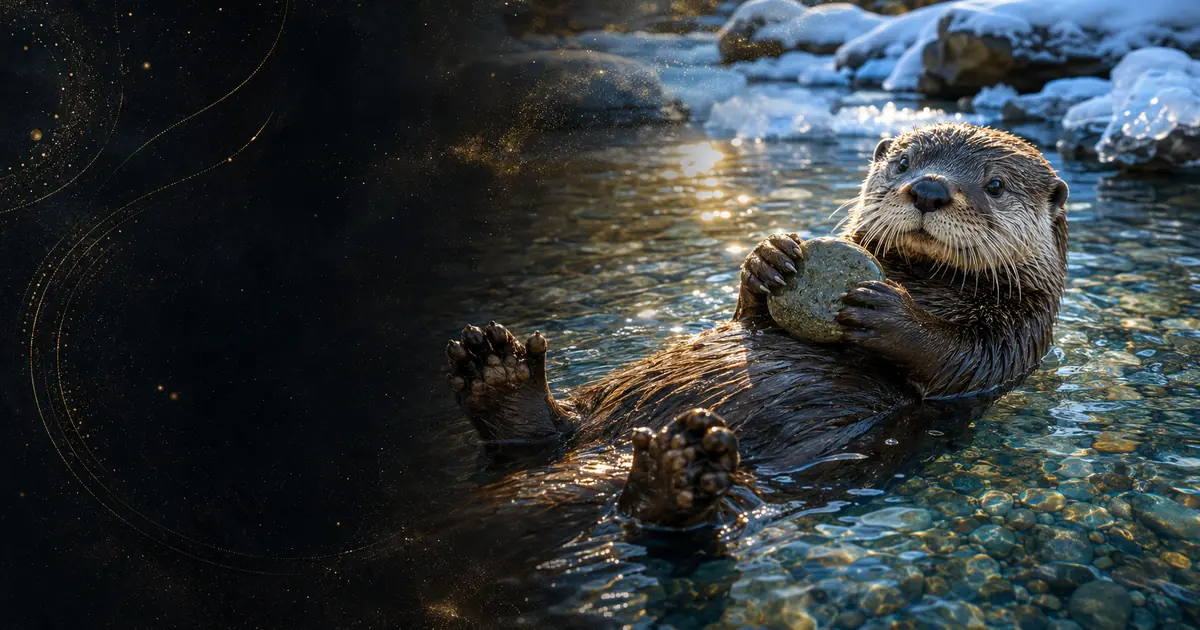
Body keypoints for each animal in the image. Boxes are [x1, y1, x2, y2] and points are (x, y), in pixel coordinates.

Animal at [443, 123, 1069, 530]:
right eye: (903, 164)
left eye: (994, 185)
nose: (930, 189)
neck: (922, 281)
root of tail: (614, 449)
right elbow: (748, 315)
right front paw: (769, 258)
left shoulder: (1020, 336)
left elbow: (956, 362)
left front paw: (889, 312)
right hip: (597, 395)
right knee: (546, 427)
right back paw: (497, 370)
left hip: (755, 484)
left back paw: (675, 472)